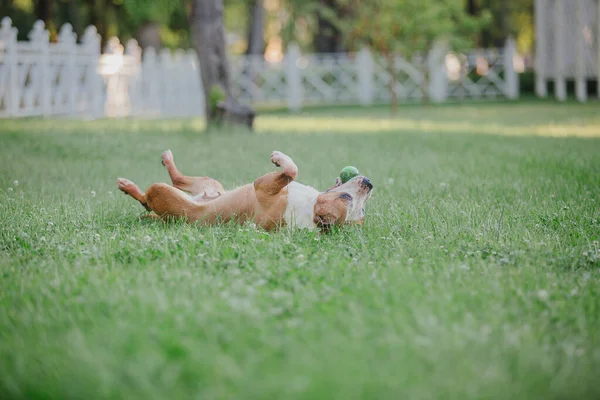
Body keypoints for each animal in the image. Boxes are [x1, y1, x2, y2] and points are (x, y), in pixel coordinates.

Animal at [115, 150, 372, 231]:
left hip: (163, 192)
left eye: (346, 197)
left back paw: (128, 186)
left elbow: (291, 170)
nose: (369, 183)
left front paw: (279, 158)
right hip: (210, 184)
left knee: (148, 198)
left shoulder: (263, 186)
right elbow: (291, 172)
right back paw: (167, 159)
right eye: (362, 211)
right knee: (178, 180)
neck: (309, 209)